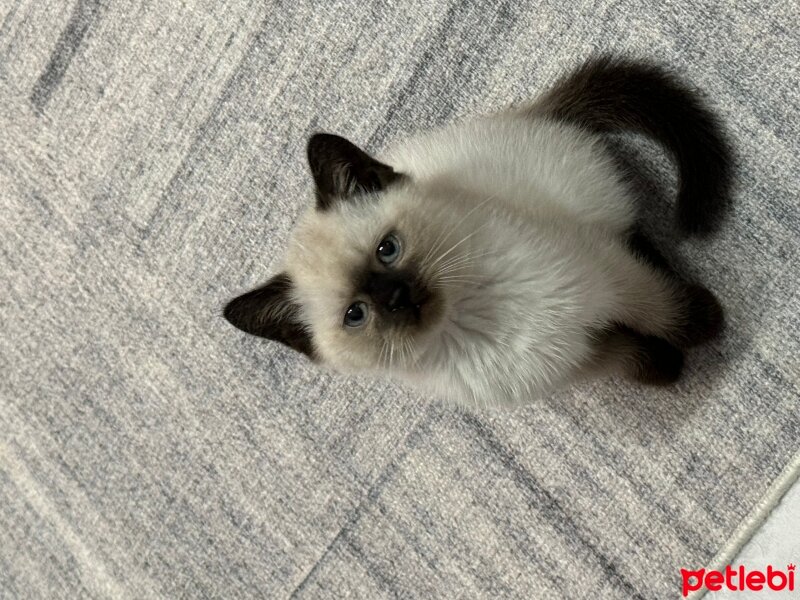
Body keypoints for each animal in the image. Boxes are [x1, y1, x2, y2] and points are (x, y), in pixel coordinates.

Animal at [222, 56, 728, 408]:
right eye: (355, 315)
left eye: (388, 249)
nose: (399, 298)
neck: (474, 320)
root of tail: (532, 115)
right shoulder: (581, 358)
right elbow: (634, 357)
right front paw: (670, 369)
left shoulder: (608, 279)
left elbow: (668, 312)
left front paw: (711, 325)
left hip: (600, 216)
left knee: (640, 248)